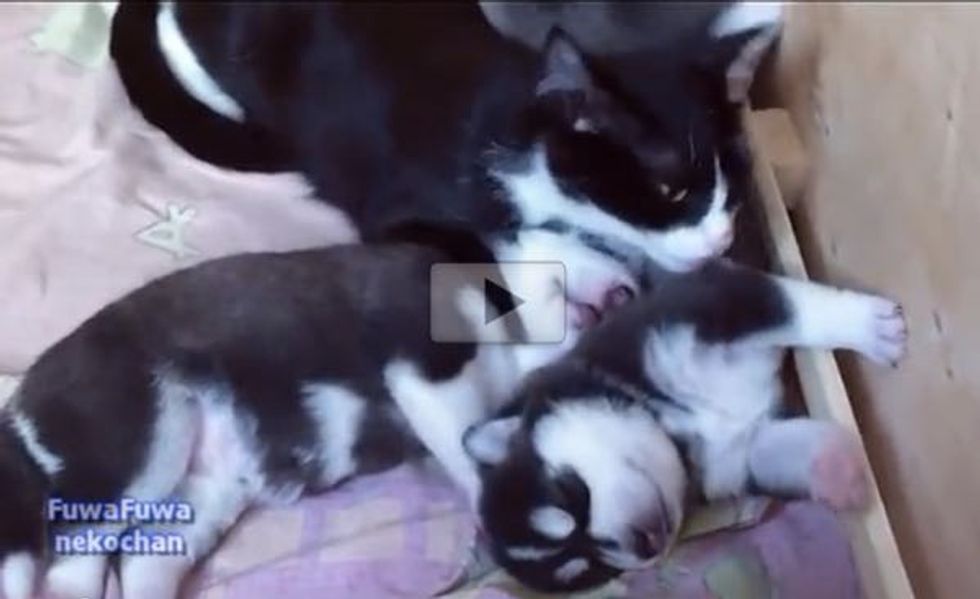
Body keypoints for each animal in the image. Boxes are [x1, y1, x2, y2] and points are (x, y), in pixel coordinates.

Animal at [464, 260, 908, 592]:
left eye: (570, 494)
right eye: (597, 568)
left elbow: (800, 310)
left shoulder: (707, 302)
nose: (642, 547)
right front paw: (837, 471)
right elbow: (781, 453)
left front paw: (870, 329)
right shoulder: (739, 455)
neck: (663, 419)